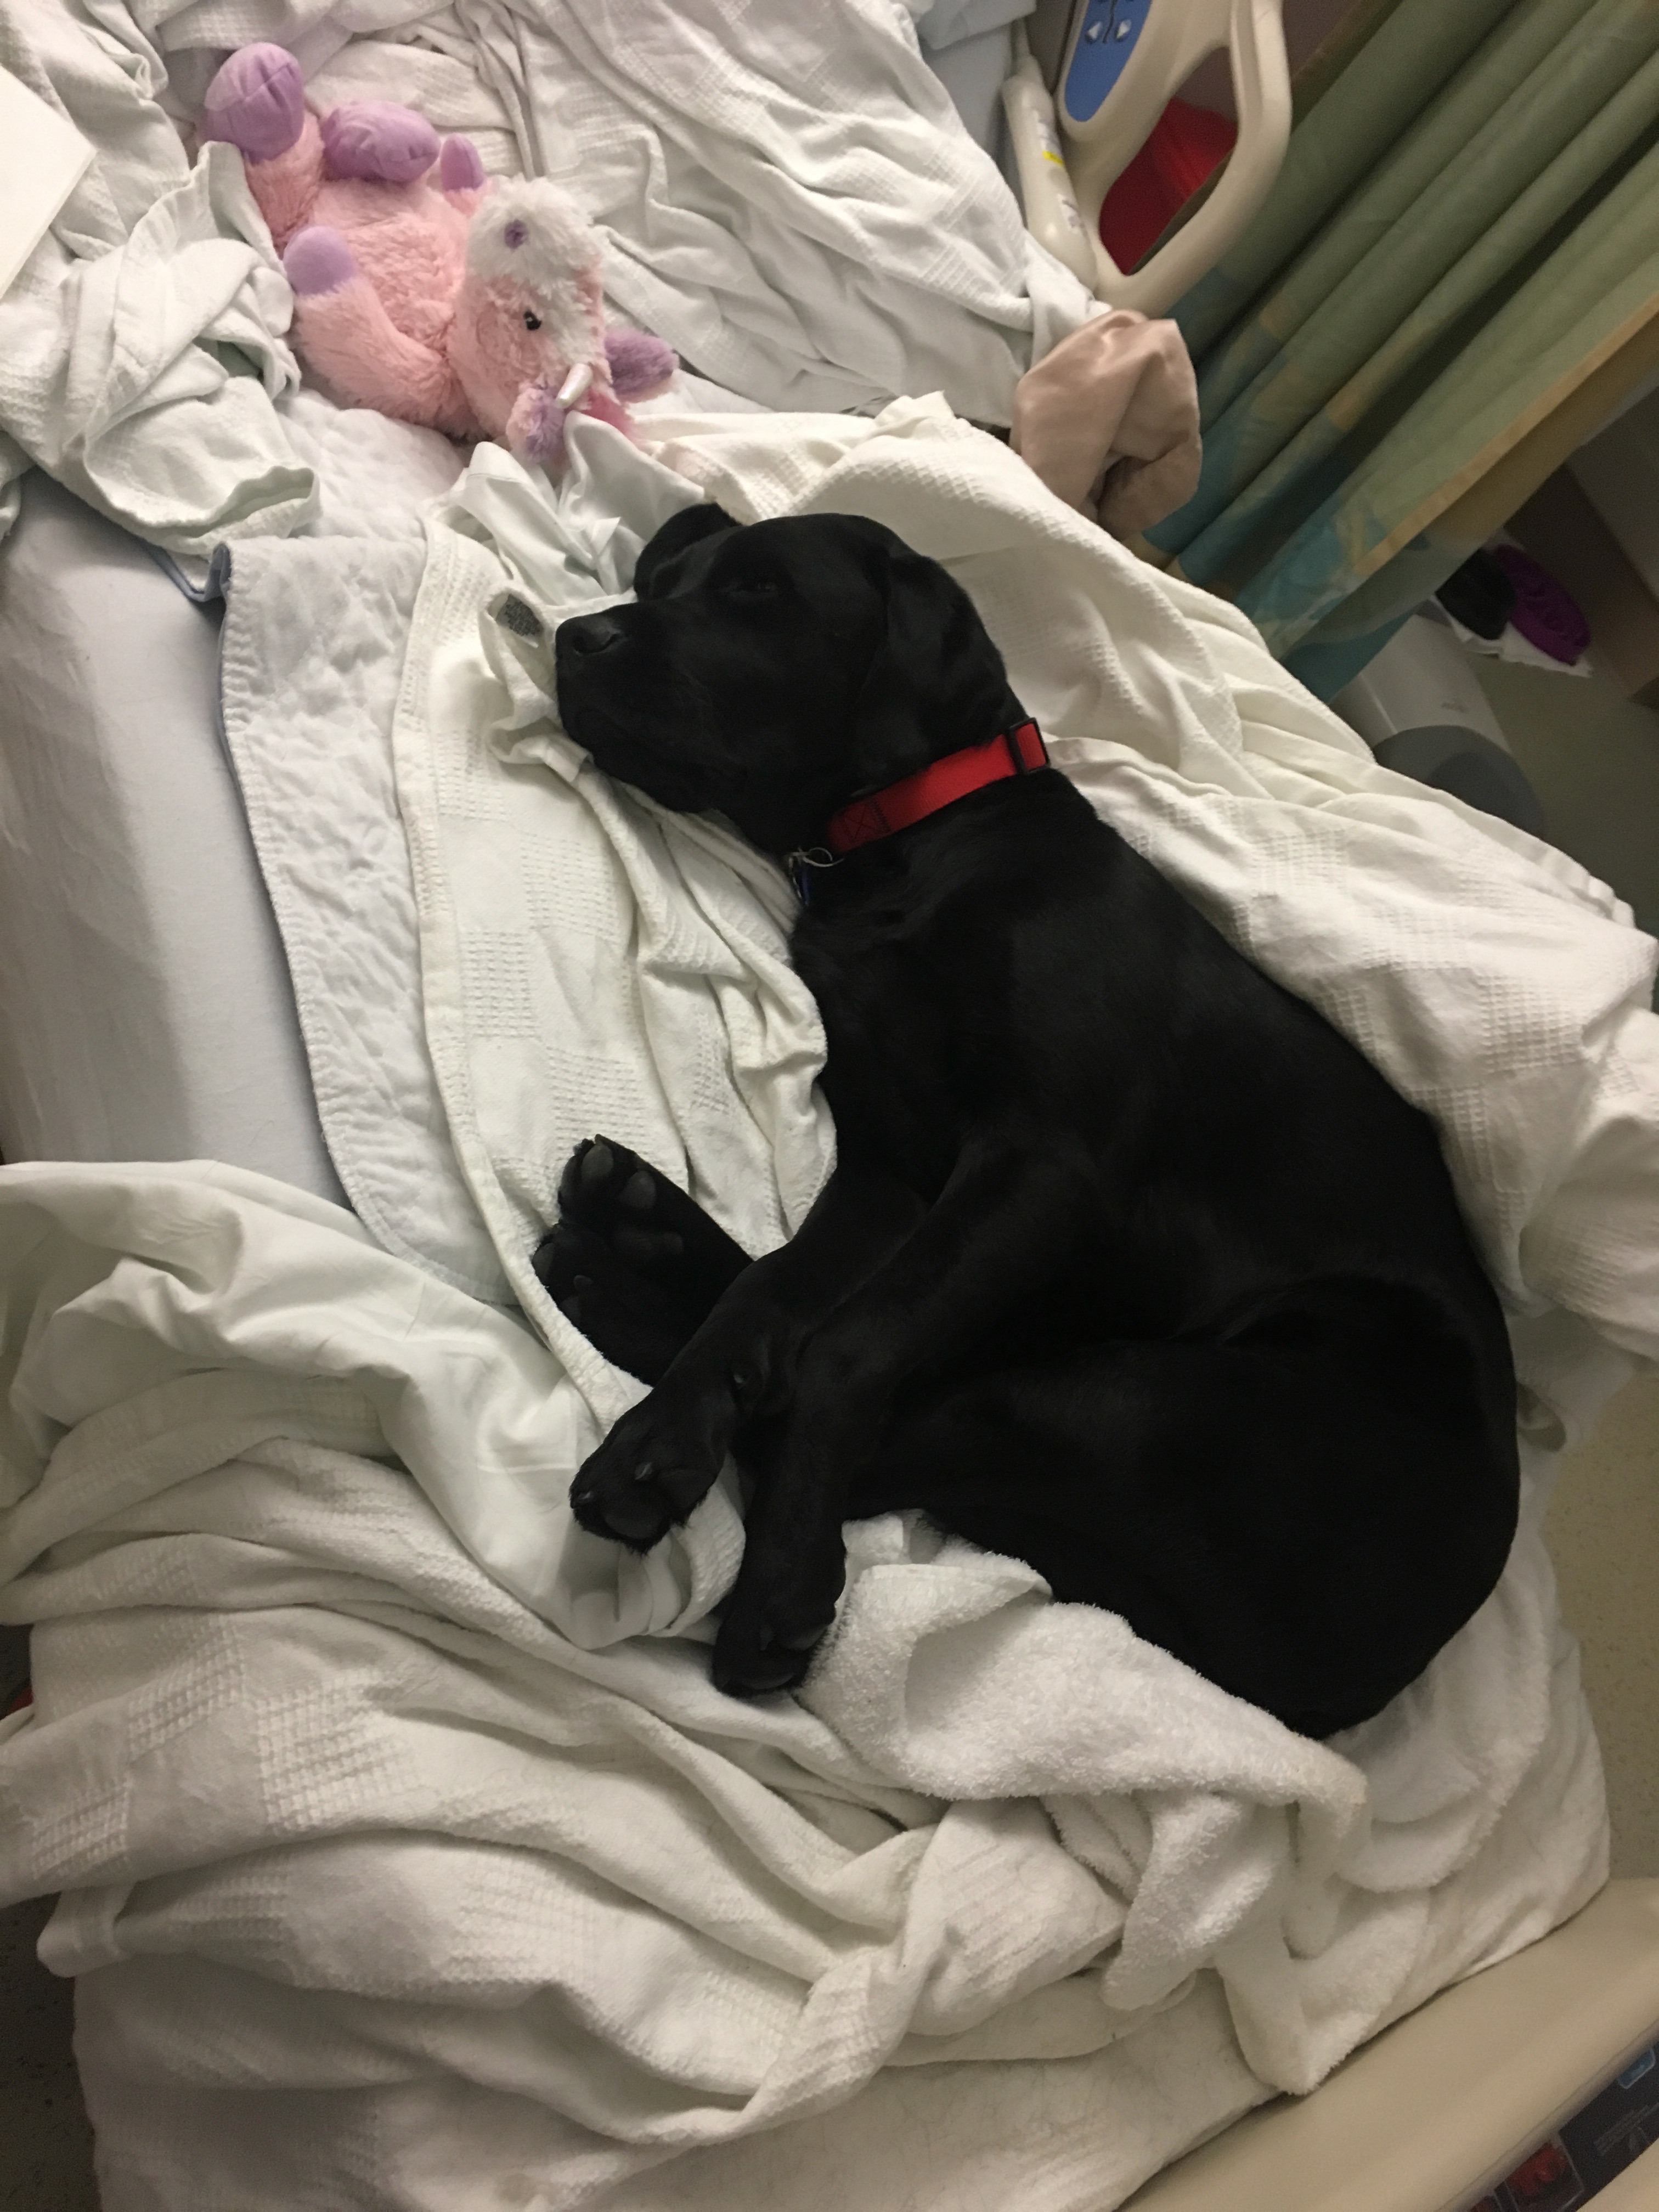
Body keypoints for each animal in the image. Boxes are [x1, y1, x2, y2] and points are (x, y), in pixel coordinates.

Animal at [539, 509, 1531, 1734]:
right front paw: (661, 1444)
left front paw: (775, 1580)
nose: (574, 639)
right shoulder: (896, 1169)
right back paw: (633, 1236)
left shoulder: (1040, 1169)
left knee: (889, 1427)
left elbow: (841, 1347)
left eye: (758, 592)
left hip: (1145, 1399)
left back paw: (622, 1289)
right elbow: (774, 1297)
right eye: (661, 579)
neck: (916, 847)